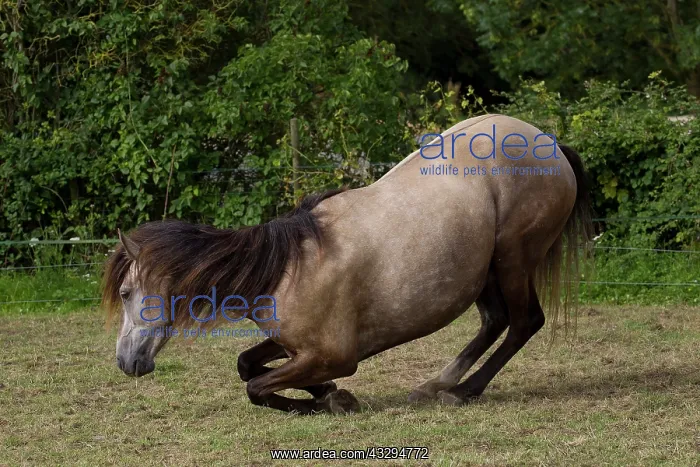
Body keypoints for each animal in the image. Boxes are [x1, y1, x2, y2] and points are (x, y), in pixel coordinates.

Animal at [102, 114, 593, 414]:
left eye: (126, 292)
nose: (126, 362)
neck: (287, 268)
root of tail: (550, 144)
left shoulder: (334, 356)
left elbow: (256, 388)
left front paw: (333, 399)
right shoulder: (295, 347)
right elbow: (246, 364)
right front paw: (326, 394)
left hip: (514, 258)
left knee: (524, 322)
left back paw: (461, 392)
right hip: (486, 270)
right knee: (495, 321)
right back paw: (434, 385)